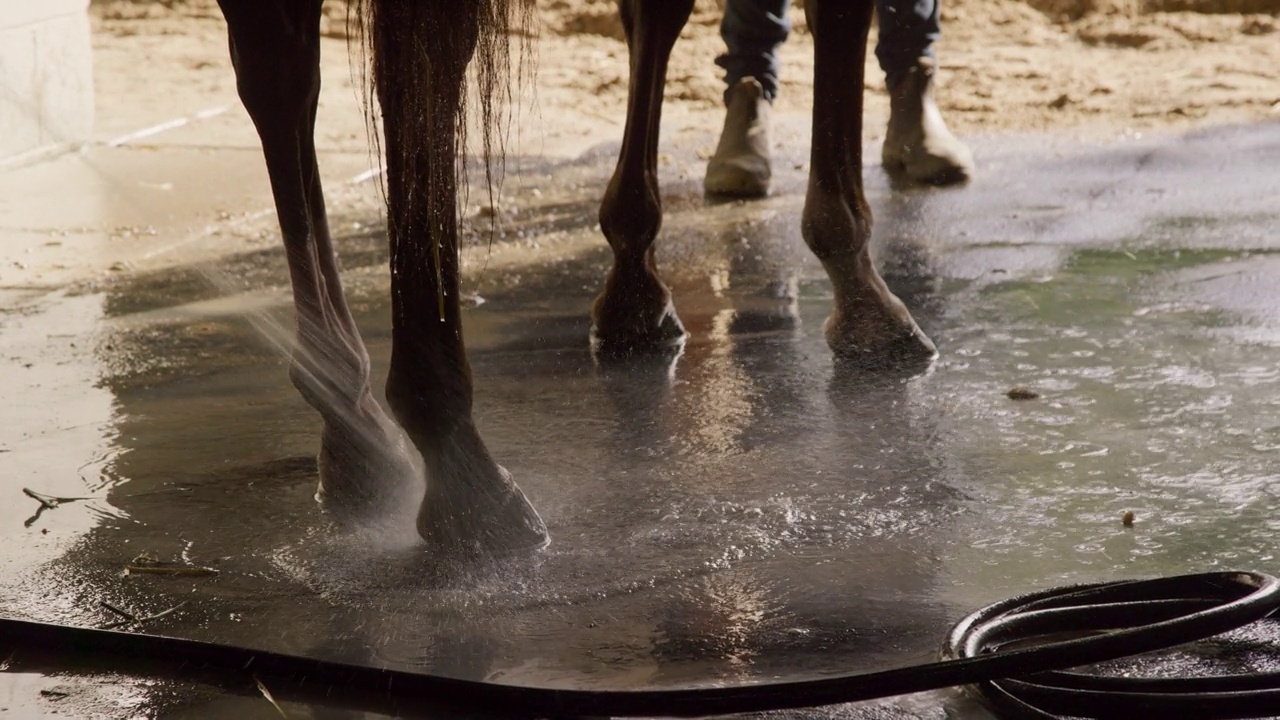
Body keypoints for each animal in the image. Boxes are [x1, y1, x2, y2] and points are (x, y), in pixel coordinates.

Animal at [209, 0, 931, 558]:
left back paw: (348, 412)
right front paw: (863, 291)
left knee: (280, 73)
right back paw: (459, 471)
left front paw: (633, 286)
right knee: (410, 78)